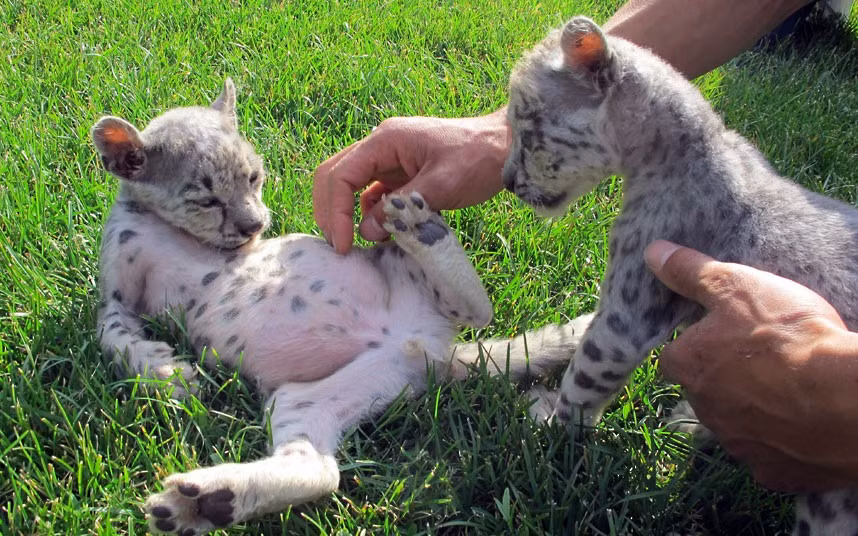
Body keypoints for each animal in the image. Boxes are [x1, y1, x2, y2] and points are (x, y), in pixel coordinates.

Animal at [91, 78, 592, 535]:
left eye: (254, 177)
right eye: (206, 198)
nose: (255, 225)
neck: (177, 231)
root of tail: (431, 350)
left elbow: (111, 336)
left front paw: (167, 374)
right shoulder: (115, 298)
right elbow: (113, 336)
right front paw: (165, 374)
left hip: (395, 268)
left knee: (478, 310)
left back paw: (423, 228)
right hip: (304, 401)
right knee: (318, 471)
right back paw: (207, 504)